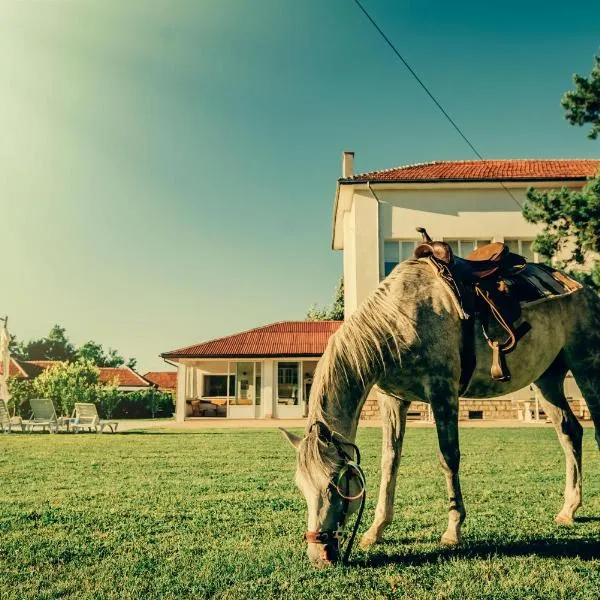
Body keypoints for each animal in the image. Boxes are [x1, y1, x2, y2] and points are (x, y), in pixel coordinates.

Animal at [280, 256, 600, 568]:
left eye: (335, 484)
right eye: (301, 487)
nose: (318, 556)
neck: (397, 319)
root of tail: (584, 289)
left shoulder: (442, 391)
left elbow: (449, 458)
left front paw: (452, 531)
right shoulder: (393, 399)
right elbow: (389, 461)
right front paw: (376, 530)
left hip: (586, 366)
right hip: (547, 378)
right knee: (570, 433)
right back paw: (568, 509)